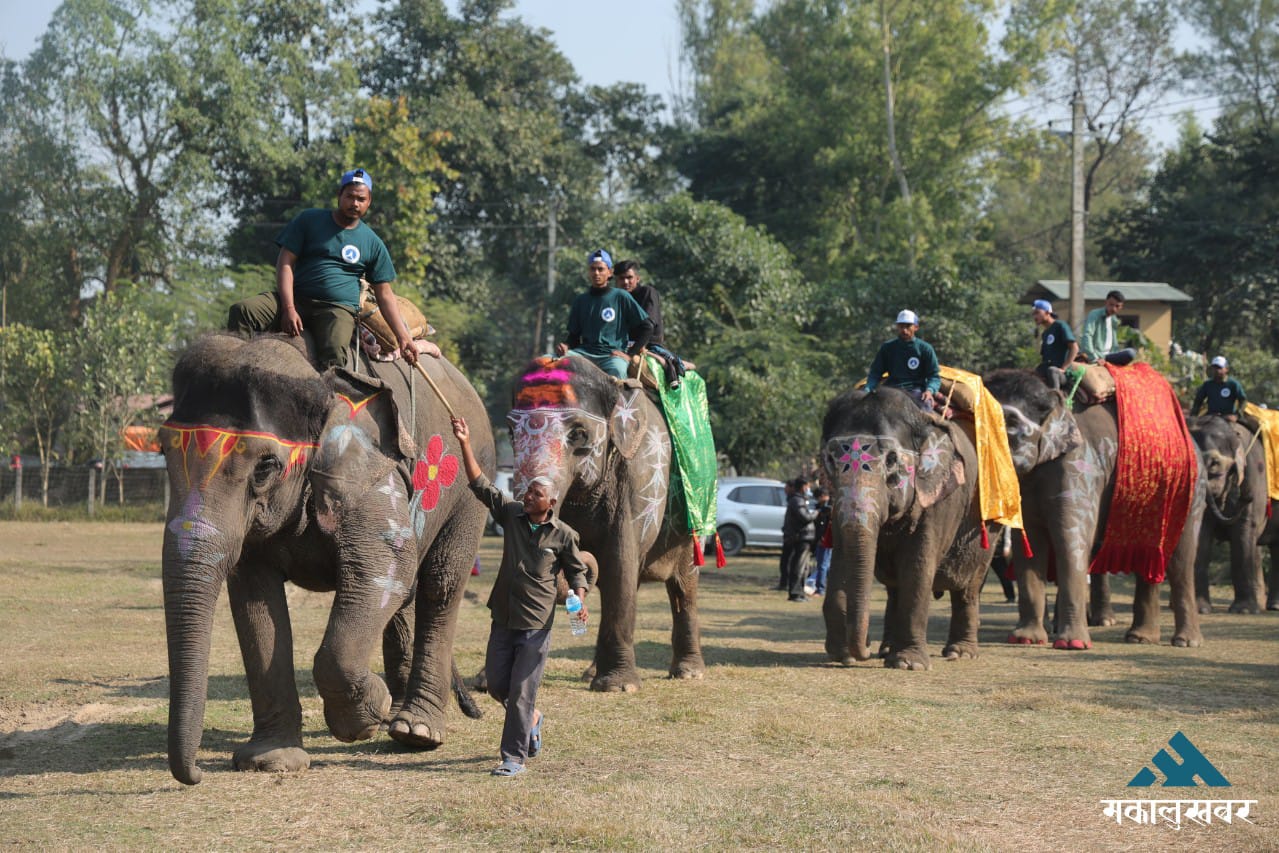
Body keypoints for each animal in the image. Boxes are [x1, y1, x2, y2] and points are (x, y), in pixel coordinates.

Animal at [158, 332, 493, 787]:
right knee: (405, 598)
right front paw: (271, 761)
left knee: (439, 584)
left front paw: (365, 715)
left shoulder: (373, 475)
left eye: (266, 466)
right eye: (161, 451)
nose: (194, 774)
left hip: (468, 490)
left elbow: (382, 567)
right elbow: (254, 600)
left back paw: (416, 730)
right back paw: (398, 719)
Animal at [503, 355, 706, 695]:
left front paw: (618, 687)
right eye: (509, 432)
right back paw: (590, 674)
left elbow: (619, 561)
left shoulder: (637, 475)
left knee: (683, 586)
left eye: (578, 434)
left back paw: (689, 673)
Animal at [818, 388, 987, 675]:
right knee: (894, 588)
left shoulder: (938, 498)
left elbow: (917, 564)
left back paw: (960, 653)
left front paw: (909, 664)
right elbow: (841, 556)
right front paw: (843, 656)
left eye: (891, 460)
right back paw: (887, 649)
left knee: (968, 585)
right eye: (829, 460)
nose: (865, 647)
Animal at [982, 370, 1202, 649]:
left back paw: (1185, 642)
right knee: (1150, 552)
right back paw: (1140, 638)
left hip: (1192, 492)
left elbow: (1071, 542)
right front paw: (1025, 639)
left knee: (1182, 559)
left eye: (1008, 423)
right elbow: (1030, 546)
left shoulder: (1078, 467)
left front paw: (1072, 644)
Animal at [1186, 414, 1268, 611]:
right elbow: (1202, 534)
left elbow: (1244, 531)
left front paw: (1244, 610)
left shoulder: (1253, 476)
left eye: (1214, 464)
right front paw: (1201, 609)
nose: (1247, 497)